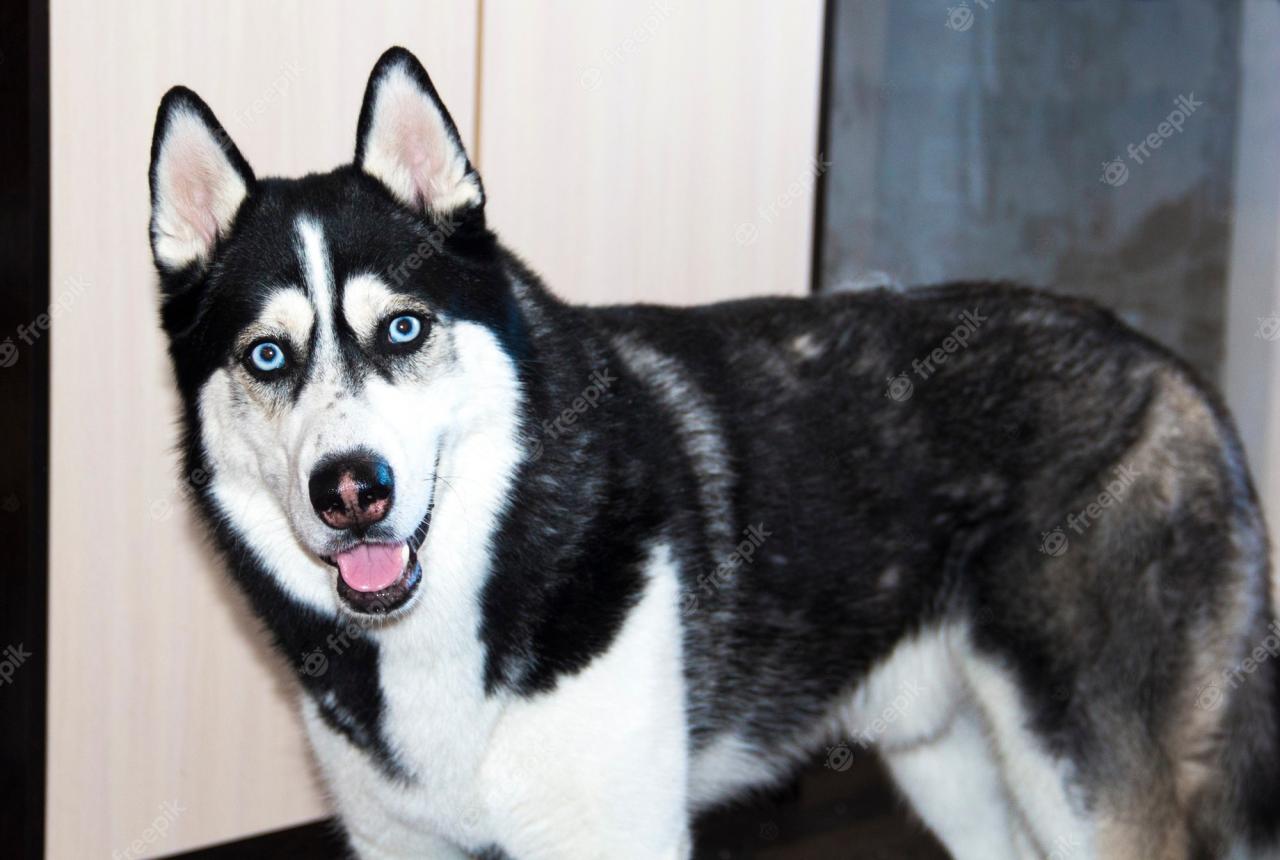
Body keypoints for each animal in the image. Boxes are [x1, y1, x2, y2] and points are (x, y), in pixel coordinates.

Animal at [152, 48, 1280, 860]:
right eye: (267, 355)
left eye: (401, 329)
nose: (351, 489)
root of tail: (1167, 363)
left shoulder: (617, 837)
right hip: (953, 761)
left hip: (1080, 788)